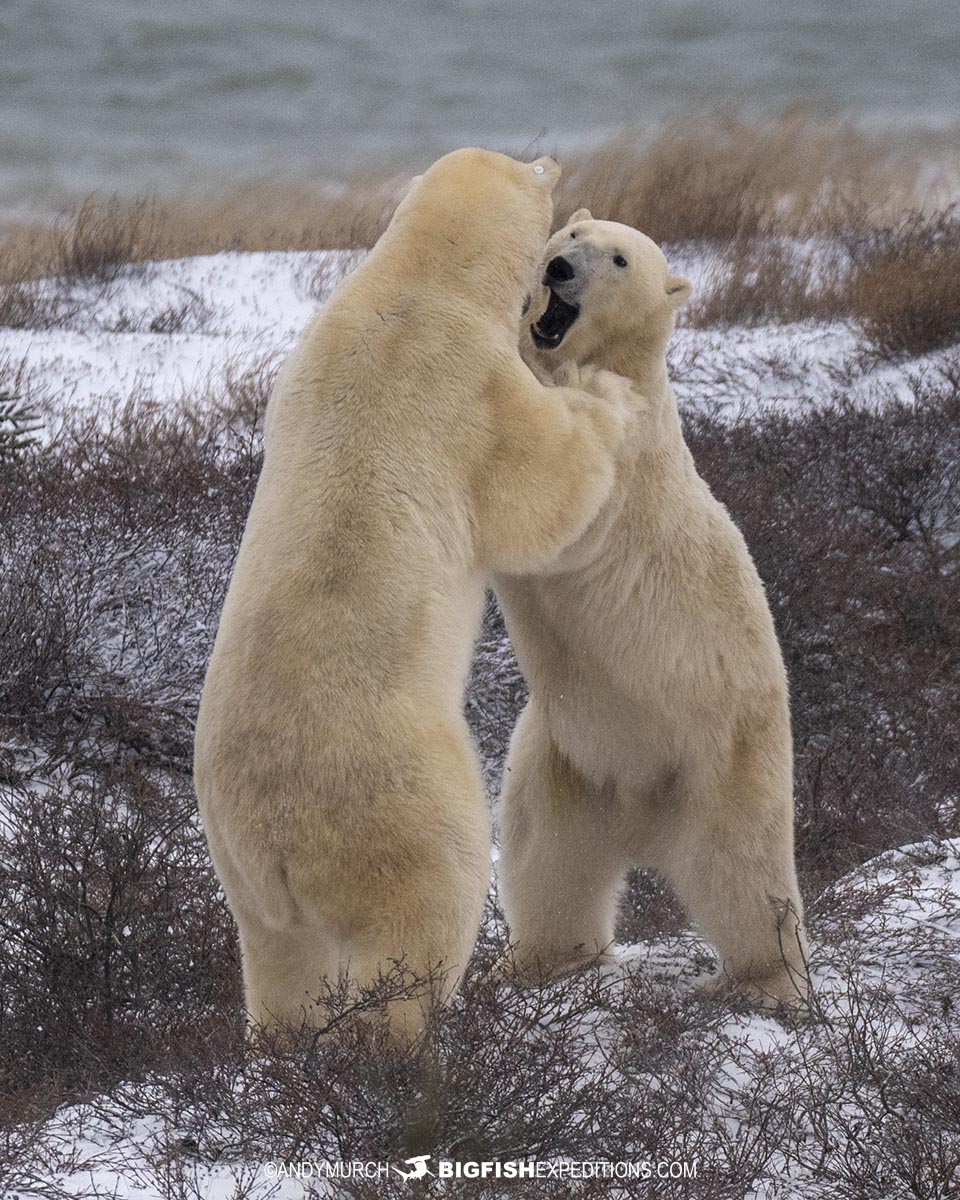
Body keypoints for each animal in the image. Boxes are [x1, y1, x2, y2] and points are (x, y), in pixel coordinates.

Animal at [194, 152, 638, 1041]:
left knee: (281, 962)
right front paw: (606, 403)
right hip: (405, 805)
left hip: (241, 868)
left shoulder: (299, 363)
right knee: (421, 921)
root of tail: (280, 842)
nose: (553, 162)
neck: (416, 282)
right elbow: (543, 492)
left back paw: (280, 1047)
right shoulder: (472, 387)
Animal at [494, 208, 811, 1003]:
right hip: (567, 761)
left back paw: (766, 982)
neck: (617, 362)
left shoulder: (622, 449)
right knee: (547, 863)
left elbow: (553, 488)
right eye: (572, 237)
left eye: (619, 259)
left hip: (721, 758)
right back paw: (534, 964)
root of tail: (639, 823)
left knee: (743, 872)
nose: (557, 271)